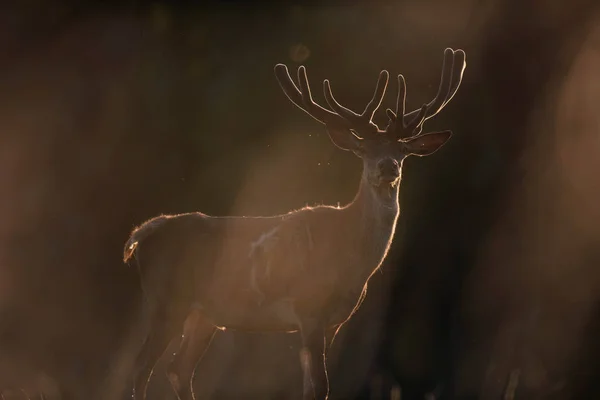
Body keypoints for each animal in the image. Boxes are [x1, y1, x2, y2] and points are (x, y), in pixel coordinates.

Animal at [124, 47, 466, 400]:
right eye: (362, 148)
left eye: (401, 150)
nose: (387, 168)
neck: (353, 258)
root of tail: (143, 233)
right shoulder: (309, 307)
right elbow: (321, 385)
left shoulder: (334, 321)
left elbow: (312, 387)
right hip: (167, 300)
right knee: (141, 368)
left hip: (204, 314)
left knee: (178, 368)